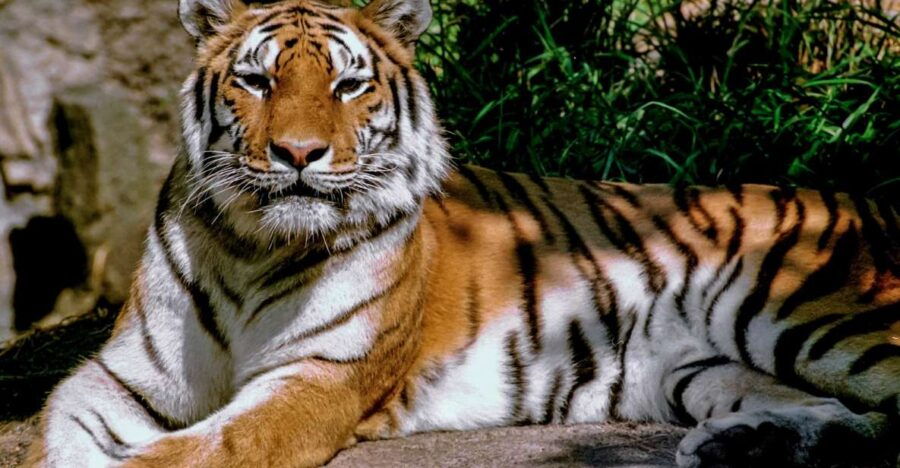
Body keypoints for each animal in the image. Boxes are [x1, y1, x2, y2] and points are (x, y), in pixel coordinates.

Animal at [26, 0, 900, 466]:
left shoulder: (317, 378)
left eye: (349, 85)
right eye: (257, 80)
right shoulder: (119, 377)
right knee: (850, 416)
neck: (250, 247)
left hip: (814, 318)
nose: (299, 154)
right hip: (698, 366)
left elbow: (205, 447)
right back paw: (750, 446)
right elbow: (56, 436)